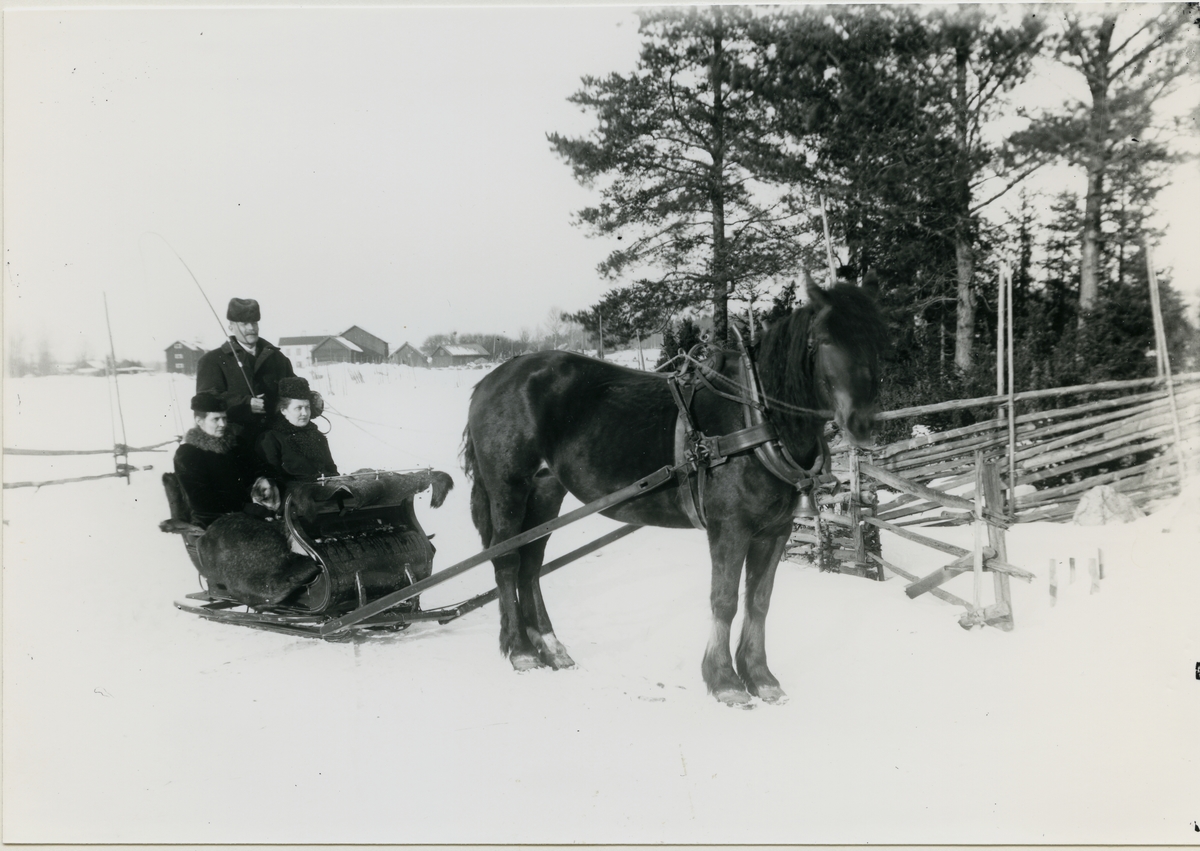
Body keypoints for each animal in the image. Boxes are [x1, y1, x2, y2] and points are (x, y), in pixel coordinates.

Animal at [461, 280, 886, 706]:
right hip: (509, 487)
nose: (862, 422)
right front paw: (725, 680)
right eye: (824, 339)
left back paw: (549, 646)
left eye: (878, 338)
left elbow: (759, 601)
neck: (756, 418)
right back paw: (520, 650)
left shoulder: (775, 531)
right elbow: (725, 600)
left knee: (531, 562)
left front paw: (761, 677)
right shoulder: (729, 528)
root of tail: (490, 379)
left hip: (546, 489)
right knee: (507, 560)